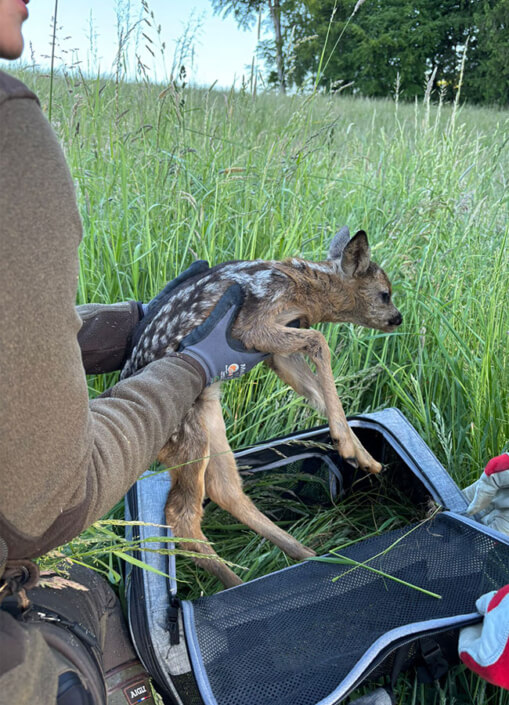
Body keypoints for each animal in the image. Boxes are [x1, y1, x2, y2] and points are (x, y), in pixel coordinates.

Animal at [121, 227, 402, 587]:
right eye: (384, 294)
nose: (398, 318)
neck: (302, 286)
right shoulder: (251, 327)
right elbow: (320, 341)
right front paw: (346, 445)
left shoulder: (274, 352)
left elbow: (313, 389)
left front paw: (364, 458)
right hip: (185, 436)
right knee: (180, 514)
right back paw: (237, 582)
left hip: (209, 419)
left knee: (225, 489)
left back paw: (303, 553)